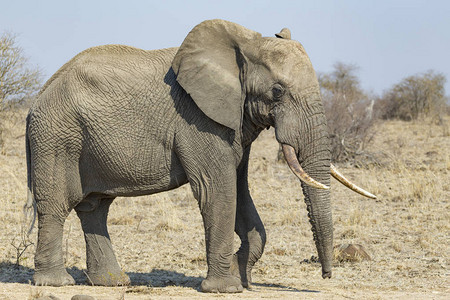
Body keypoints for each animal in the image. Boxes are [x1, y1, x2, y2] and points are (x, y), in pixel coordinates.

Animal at [25, 19, 376, 292]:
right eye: (277, 91)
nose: (326, 275)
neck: (245, 45)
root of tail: (37, 97)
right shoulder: (198, 120)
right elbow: (217, 190)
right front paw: (226, 287)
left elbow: (241, 193)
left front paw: (238, 273)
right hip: (56, 135)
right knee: (57, 204)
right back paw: (57, 283)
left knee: (95, 207)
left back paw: (113, 282)